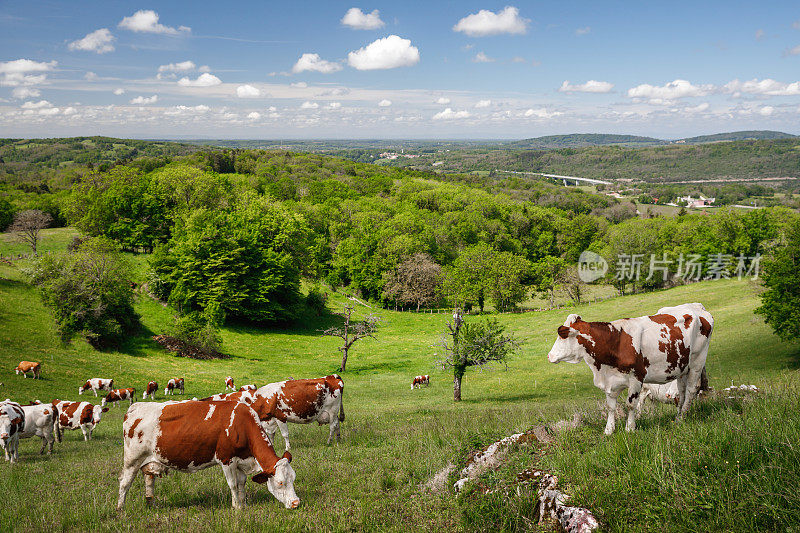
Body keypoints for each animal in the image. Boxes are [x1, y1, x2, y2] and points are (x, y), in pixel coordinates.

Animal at [120, 400, 302, 512]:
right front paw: (236, 507)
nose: (296, 503)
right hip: (132, 459)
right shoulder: (226, 459)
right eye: (280, 482)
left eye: (293, 478)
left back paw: (151, 504)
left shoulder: (241, 460)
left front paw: (243, 504)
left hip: (149, 460)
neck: (241, 424)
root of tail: (135, 407)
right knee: (124, 483)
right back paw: (120, 508)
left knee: (149, 479)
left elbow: (242, 483)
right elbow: (233, 484)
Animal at [548, 302, 716, 434]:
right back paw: (677, 416)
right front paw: (609, 430)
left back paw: (682, 418)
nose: (549, 356)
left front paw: (630, 428)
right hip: (682, 367)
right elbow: (610, 407)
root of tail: (697, 306)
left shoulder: (637, 378)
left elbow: (630, 405)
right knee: (681, 392)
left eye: (562, 335)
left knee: (691, 390)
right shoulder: (611, 381)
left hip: (697, 361)